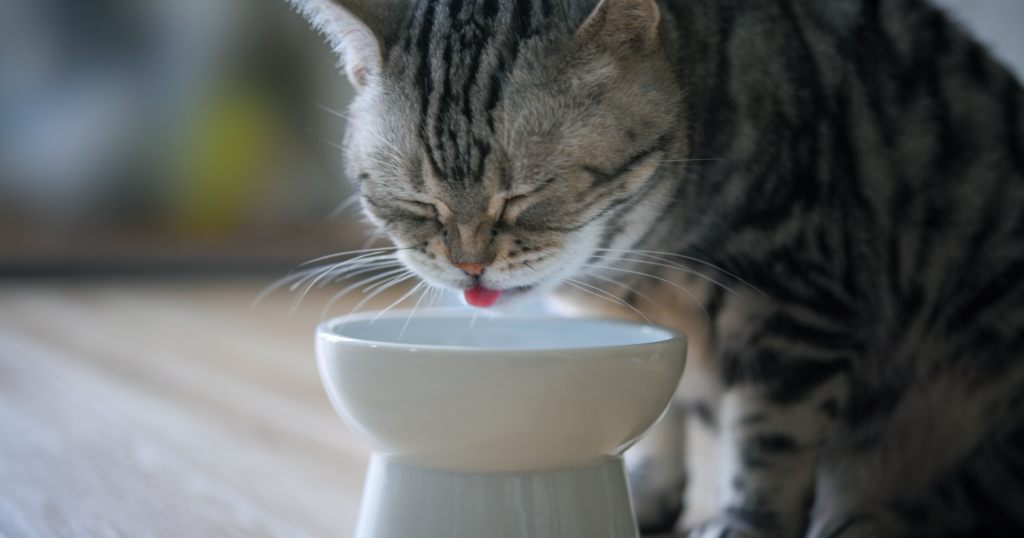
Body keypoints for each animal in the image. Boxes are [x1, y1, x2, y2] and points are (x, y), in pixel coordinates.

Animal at [286, 0, 1024, 532]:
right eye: (418, 203)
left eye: (526, 194)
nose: (469, 266)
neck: (635, 265)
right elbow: (658, 434)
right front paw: (646, 496)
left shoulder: (794, 308)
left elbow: (770, 446)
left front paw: (746, 525)